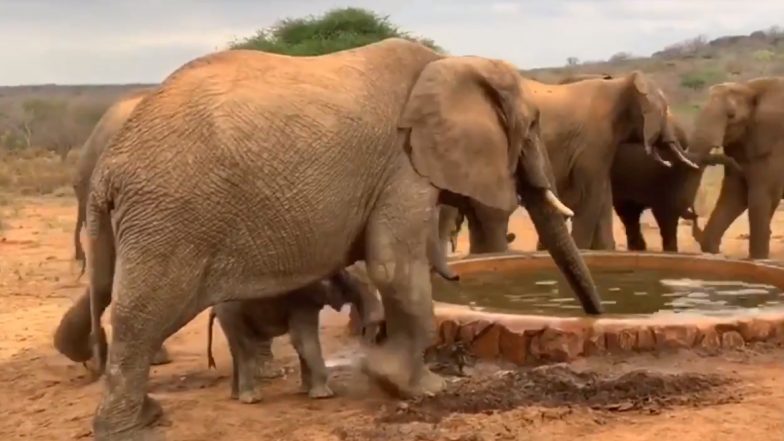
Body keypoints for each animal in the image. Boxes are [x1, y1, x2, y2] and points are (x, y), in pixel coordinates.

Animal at [206, 266, 383, 403]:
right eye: (352, 282)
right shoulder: (301, 300)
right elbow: (303, 340)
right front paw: (322, 396)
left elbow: (300, 343)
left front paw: (305, 391)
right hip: (231, 312)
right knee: (245, 347)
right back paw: (251, 399)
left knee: (236, 349)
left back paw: (236, 397)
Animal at [690, 77, 784, 259]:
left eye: (731, 116)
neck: (750, 87)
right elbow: (735, 195)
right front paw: (712, 251)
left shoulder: (775, 147)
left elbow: (760, 196)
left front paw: (758, 258)